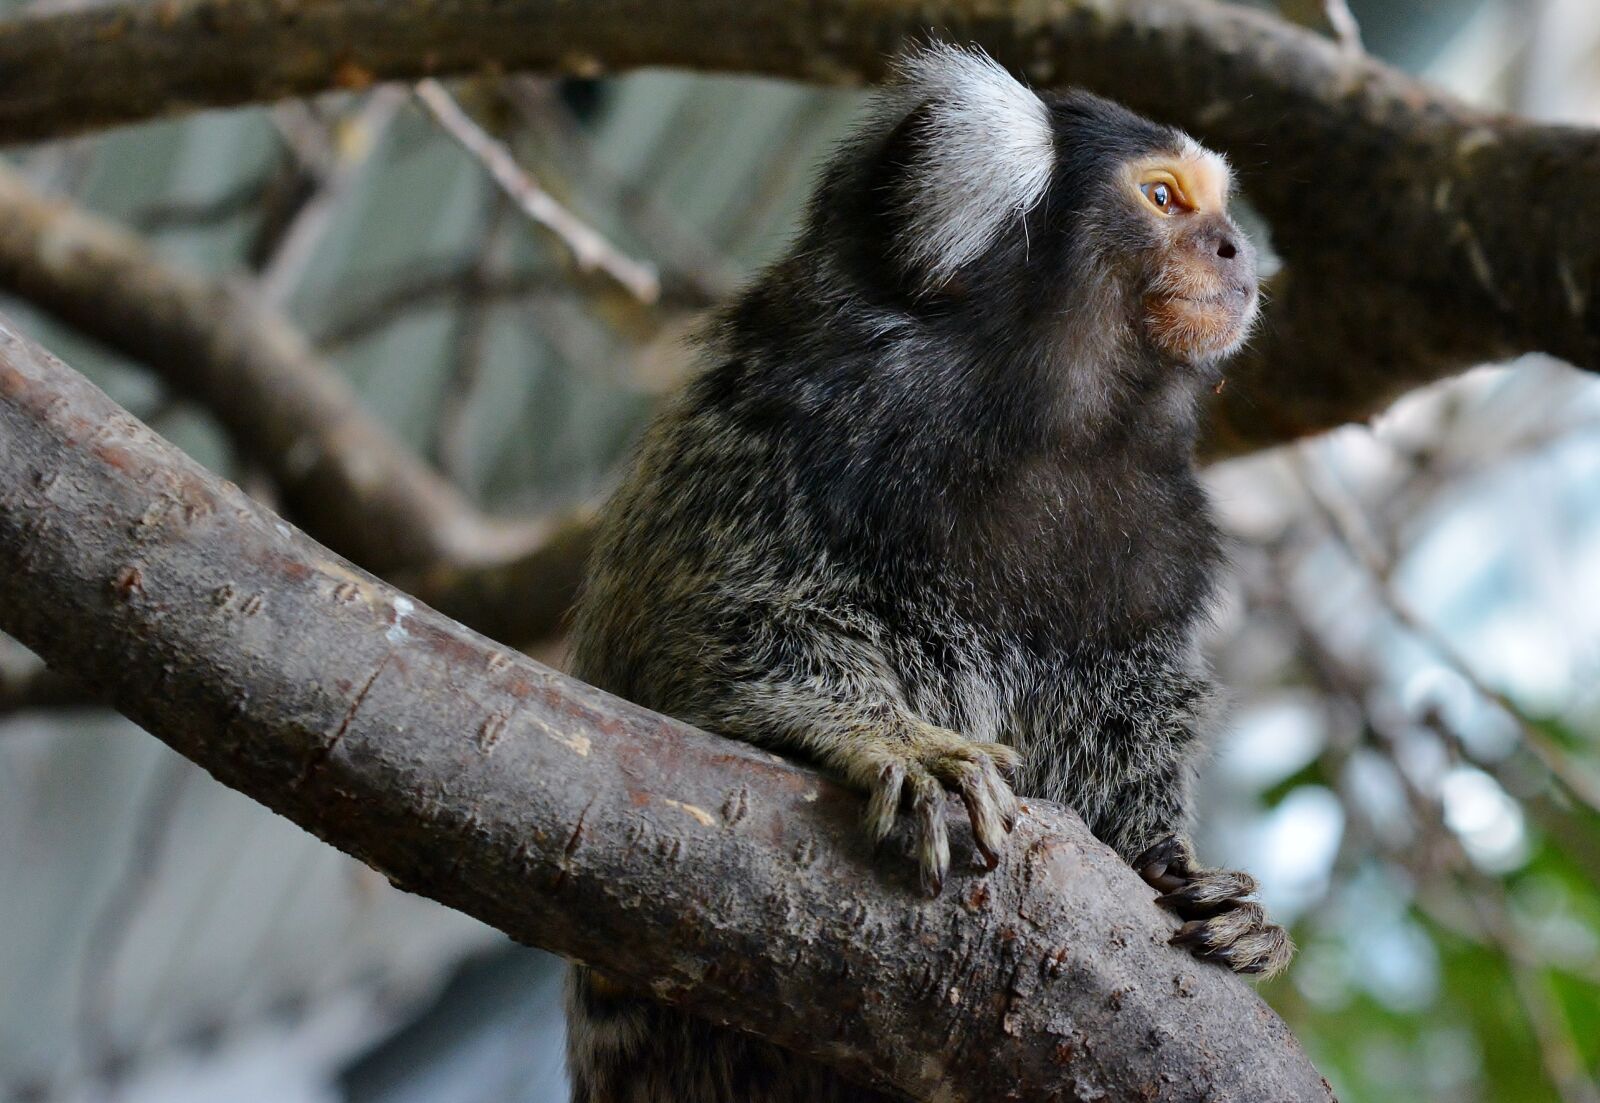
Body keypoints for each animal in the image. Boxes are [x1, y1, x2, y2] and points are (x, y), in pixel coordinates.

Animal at [565, 44, 1291, 1103]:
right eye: (1163, 198)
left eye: (1222, 212)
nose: (1238, 251)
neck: (1045, 426)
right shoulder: (787, 421)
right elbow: (711, 635)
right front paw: (896, 741)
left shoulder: (1165, 546)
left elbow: (1126, 717)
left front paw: (1185, 873)